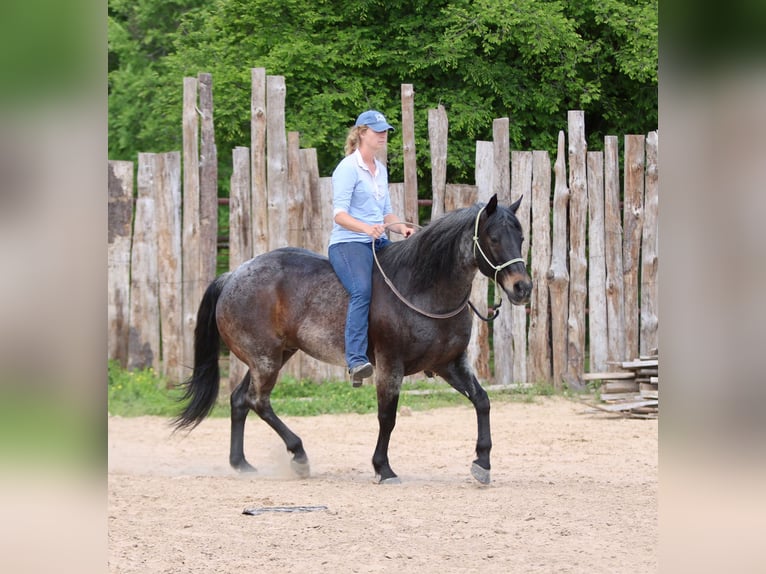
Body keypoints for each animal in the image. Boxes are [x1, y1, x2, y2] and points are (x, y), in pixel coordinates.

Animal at [173, 194, 532, 484]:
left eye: (521, 236)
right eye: (494, 238)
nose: (522, 287)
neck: (424, 288)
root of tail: (232, 275)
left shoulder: (451, 365)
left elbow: (482, 401)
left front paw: (482, 463)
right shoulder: (390, 366)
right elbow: (387, 417)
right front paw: (383, 468)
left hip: (275, 355)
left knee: (239, 399)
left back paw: (241, 464)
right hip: (265, 359)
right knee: (257, 401)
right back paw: (298, 455)